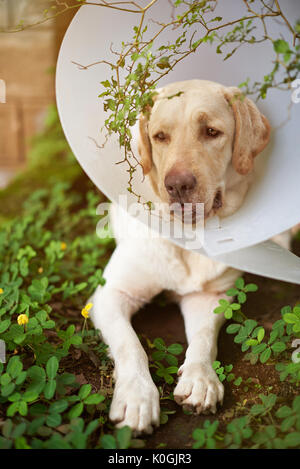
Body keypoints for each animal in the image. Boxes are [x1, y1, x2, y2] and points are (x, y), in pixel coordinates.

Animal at [90, 78, 276, 434]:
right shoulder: (110, 294)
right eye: (160, 136)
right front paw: (137, 397)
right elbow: (131, 346)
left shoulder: (210, 297)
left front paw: (201, 380)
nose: (176, 185)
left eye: (211, 132)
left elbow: (203, 339)